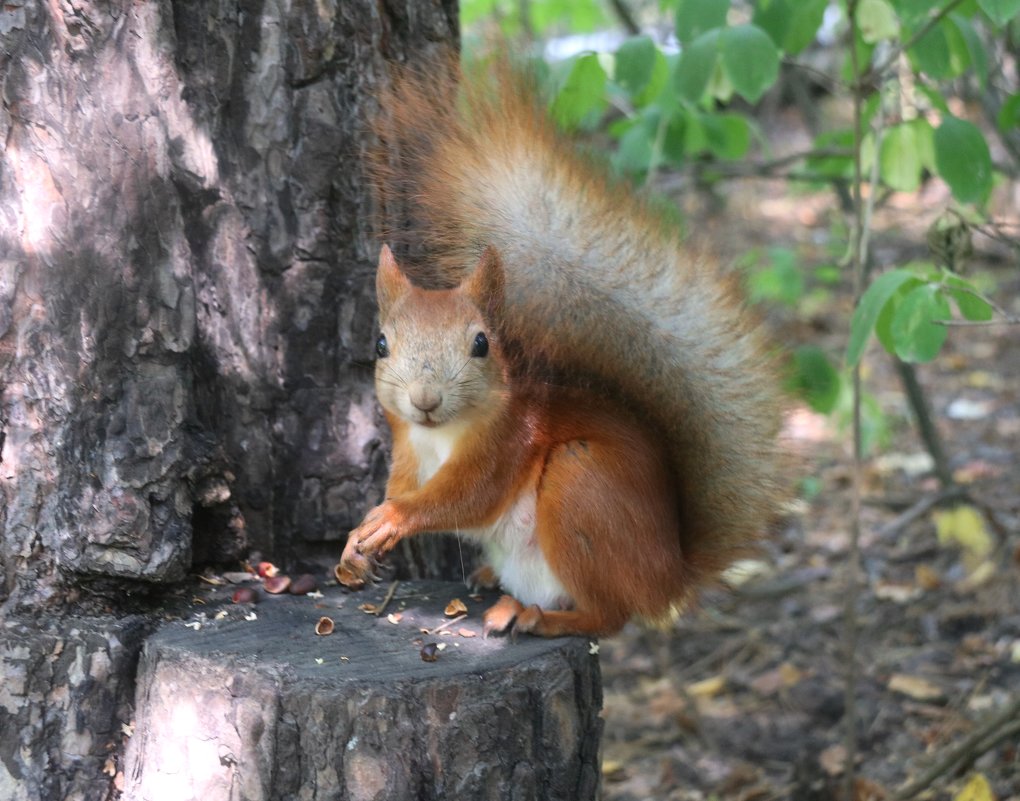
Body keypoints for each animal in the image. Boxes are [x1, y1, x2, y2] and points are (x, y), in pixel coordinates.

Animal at [334, 62, 779, 636]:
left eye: (481, 344)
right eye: (381, 343)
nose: (425, 401)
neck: (440, 436)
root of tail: (669, 577)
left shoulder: (505, 445)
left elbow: (464, 498)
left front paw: (393, 519)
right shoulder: (408, 451)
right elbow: (404, 488)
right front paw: (356, 544)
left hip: (579, 487)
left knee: (610, 616)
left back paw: (540, 618)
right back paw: (494, 586)